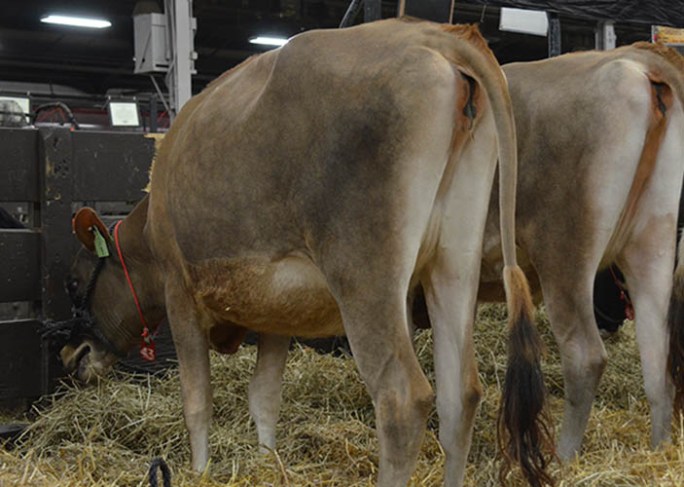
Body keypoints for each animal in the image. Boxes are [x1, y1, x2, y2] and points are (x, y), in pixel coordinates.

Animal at [50, 19, 552, 487]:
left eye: (73, 282)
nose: (70, 355)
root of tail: (431, 33)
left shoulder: (179, 291)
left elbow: (196, 401)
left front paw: (200, 470)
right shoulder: (278, 311)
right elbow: (264, 395)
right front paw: (268, 460)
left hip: (365, 273)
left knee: (402, 398)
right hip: (452, 261)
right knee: (460, 394)